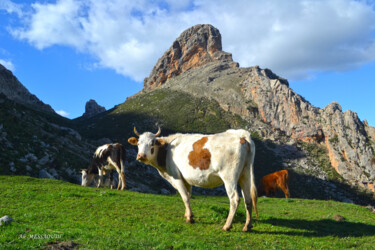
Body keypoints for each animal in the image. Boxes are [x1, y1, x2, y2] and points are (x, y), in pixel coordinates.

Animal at [129, 128, 258, 231]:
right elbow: (189, 195)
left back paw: (227, 226)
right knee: (248, 199)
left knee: (235, 199)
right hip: (245, 174)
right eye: (138, 143)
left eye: (152, 143)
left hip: (229, 177)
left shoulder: (176, 176)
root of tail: (241, 135)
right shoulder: (186, 179)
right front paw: (187, 215)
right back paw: (247, 226)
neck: (167, 150)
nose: (141, 156)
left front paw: (190, 218)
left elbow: (184, 197)